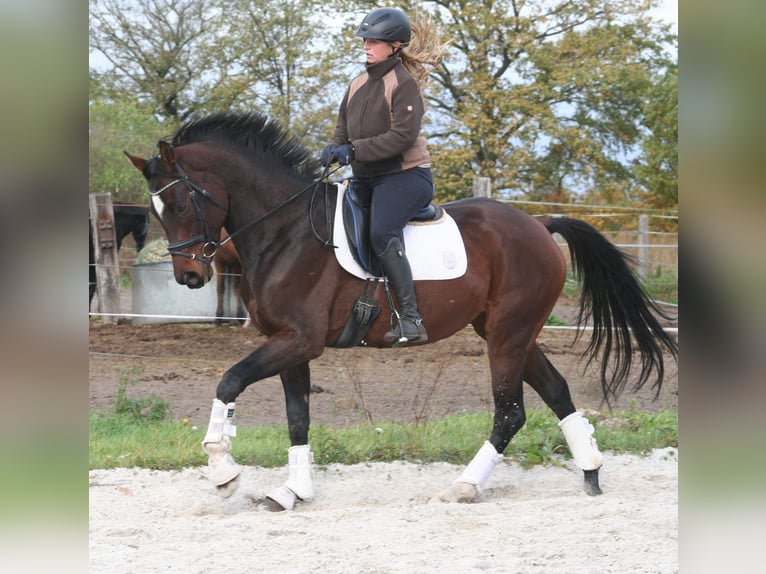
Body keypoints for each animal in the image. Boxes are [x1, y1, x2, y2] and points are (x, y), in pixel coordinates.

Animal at [126, 111, 677, 510]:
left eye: (180, 204)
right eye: (155, 211)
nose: (189, 277)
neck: (285, 231)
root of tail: (539, 225)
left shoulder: (297, 340)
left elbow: (229, 382)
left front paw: (223, 472)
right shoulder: (290, 345)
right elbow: (297, 418)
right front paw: (292, 492)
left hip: (507, 335)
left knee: (511, 412)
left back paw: (465, 486)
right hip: (509, 331)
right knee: (558, 392)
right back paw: (591, 472)